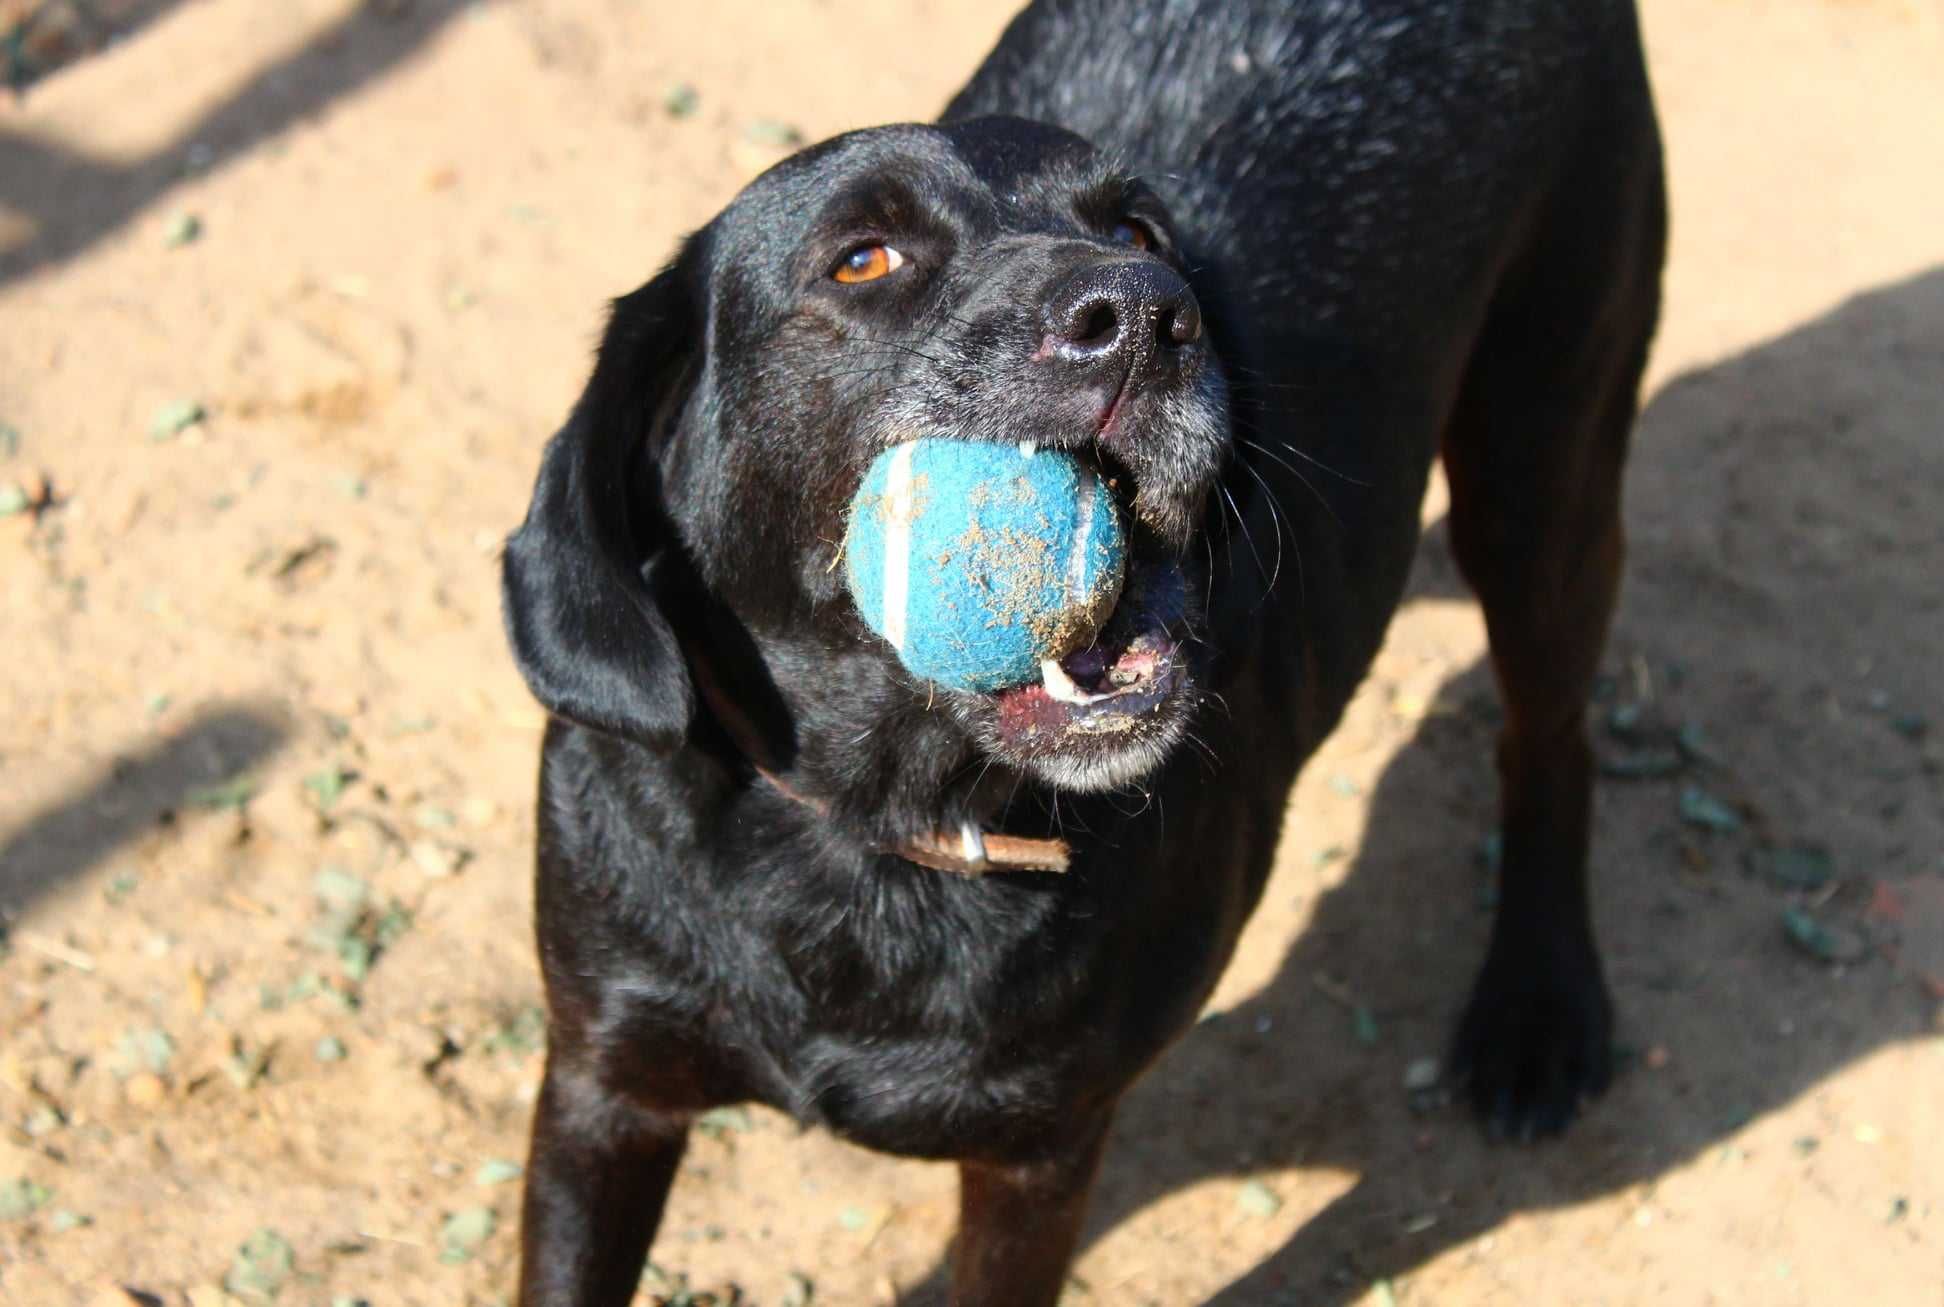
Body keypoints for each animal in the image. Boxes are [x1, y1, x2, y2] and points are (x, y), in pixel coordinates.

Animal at [497, 5, 1656, 1299]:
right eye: (863, 259)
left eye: (1141, 231)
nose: (1147, 312)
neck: (872, 838)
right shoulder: (605, 1088)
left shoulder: (1037, 1154)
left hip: (1541, 473)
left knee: (1549, 738)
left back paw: (1540, 1008)